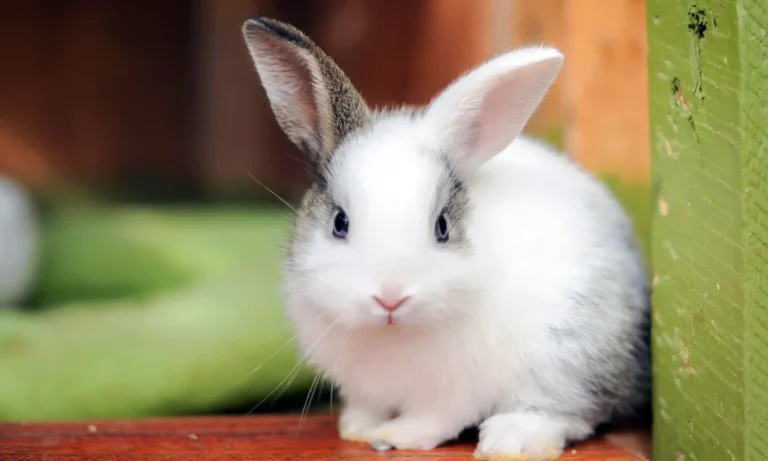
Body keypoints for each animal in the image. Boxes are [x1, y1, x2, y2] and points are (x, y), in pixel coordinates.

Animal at [242, 17, 650, 461]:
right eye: (339, 222)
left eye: (442, 227)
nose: (390, 296)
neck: (394, 334)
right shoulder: (364, 388)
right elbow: (367, 407)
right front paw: (356, 430)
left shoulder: (454, 393)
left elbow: (435, 419)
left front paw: (397, 436)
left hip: (567, 357)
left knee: (568, 412)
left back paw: (510, 441)